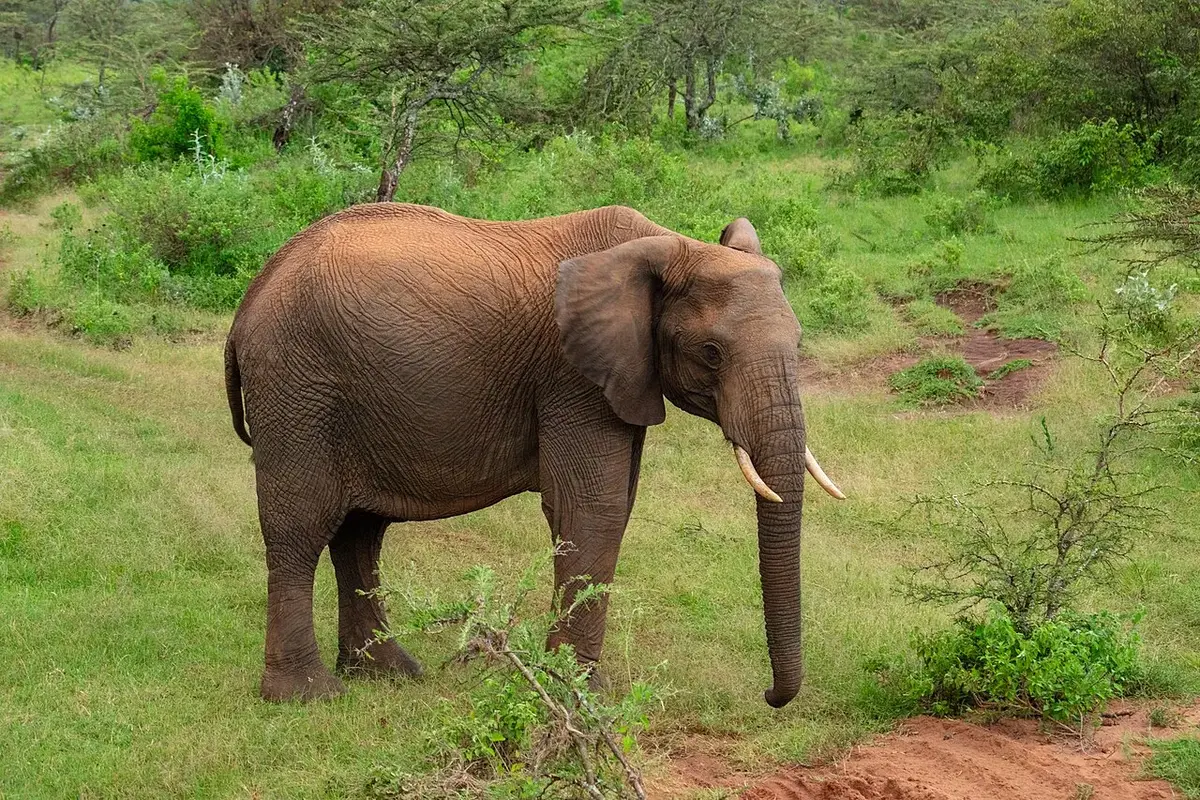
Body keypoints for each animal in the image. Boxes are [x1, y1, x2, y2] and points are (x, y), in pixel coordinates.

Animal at [223, 203, 844, 707]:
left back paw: (389, 673)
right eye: (712, 353)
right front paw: (574, 691)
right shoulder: (572, 376)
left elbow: (616, 504)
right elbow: (593, 509)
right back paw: (307, 696)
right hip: (297, 387)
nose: (768, 696)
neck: (667, 246)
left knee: (360, 532)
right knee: (301, 528)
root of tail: (254, 291)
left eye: (798, 343)